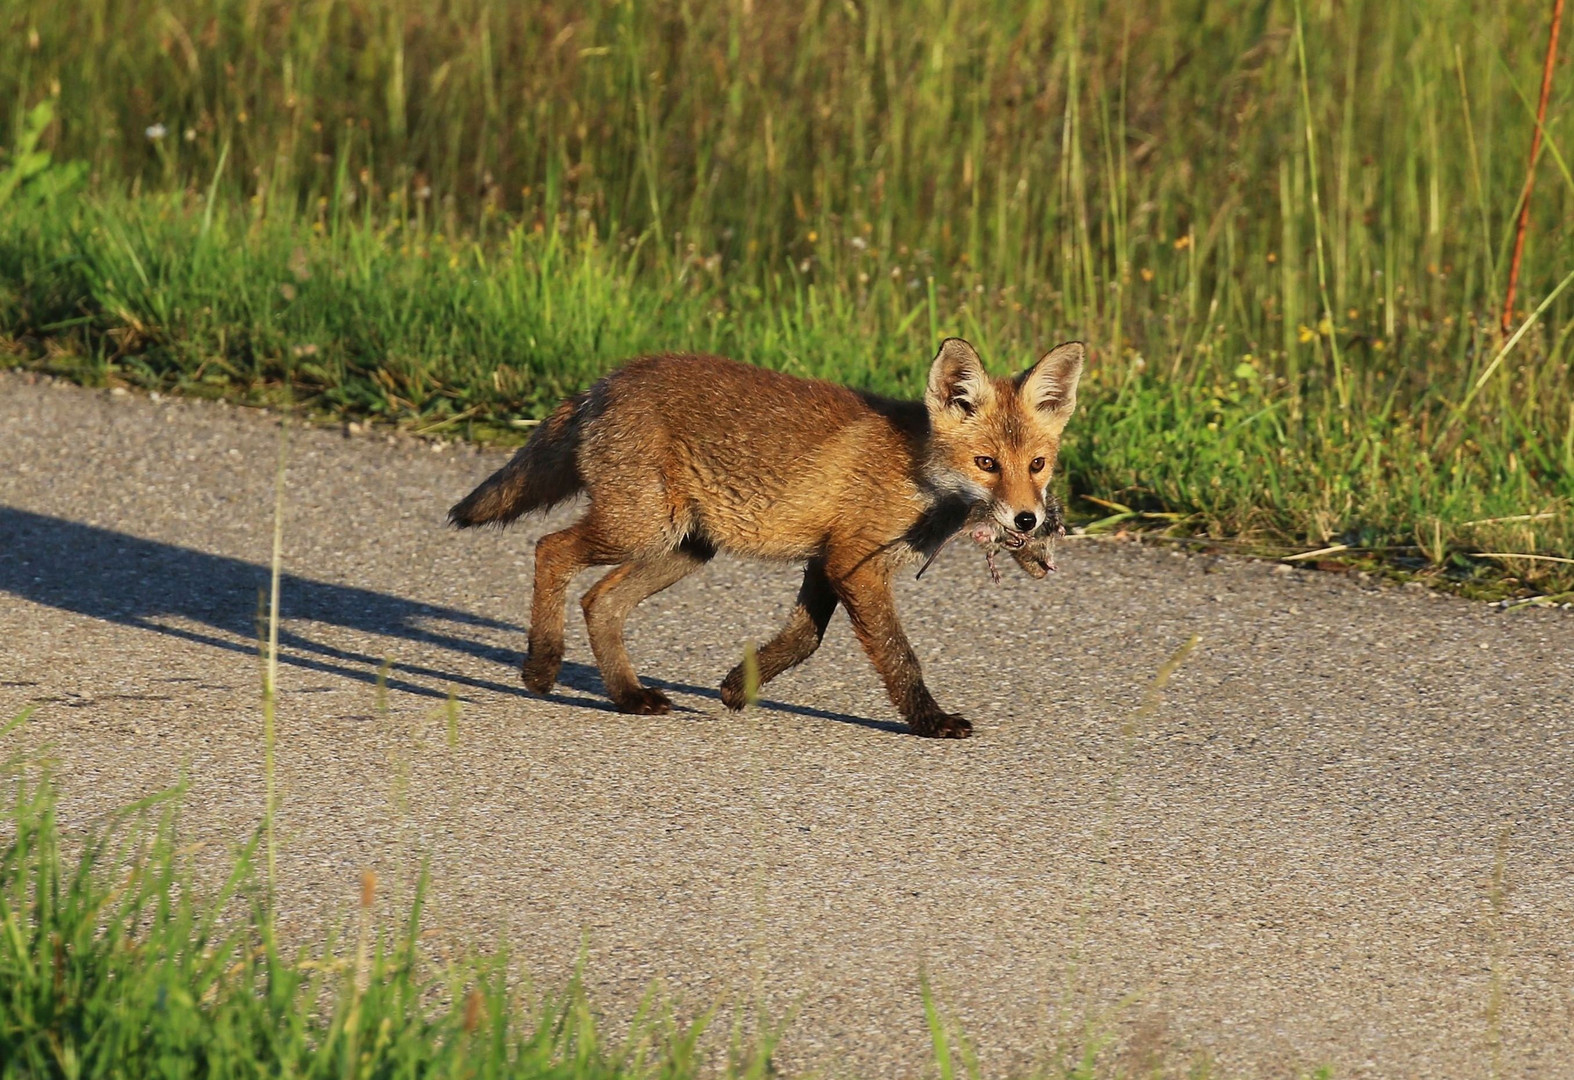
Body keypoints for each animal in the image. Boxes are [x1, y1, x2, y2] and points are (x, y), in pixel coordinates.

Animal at [450, 338, 1076, 739]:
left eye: (1037, 465)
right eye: (987, 463)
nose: (1028, 521)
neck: (916, 473)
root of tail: (608, 379)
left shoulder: (826, 562)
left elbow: (804, 639)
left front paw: (736, 687)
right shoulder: (853, 563)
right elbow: (900, 657)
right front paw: (929, 721)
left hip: (685, 546)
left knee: (599, 601)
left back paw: (628, 696)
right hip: (638, 528)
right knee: (550, 550)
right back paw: (541, 667)